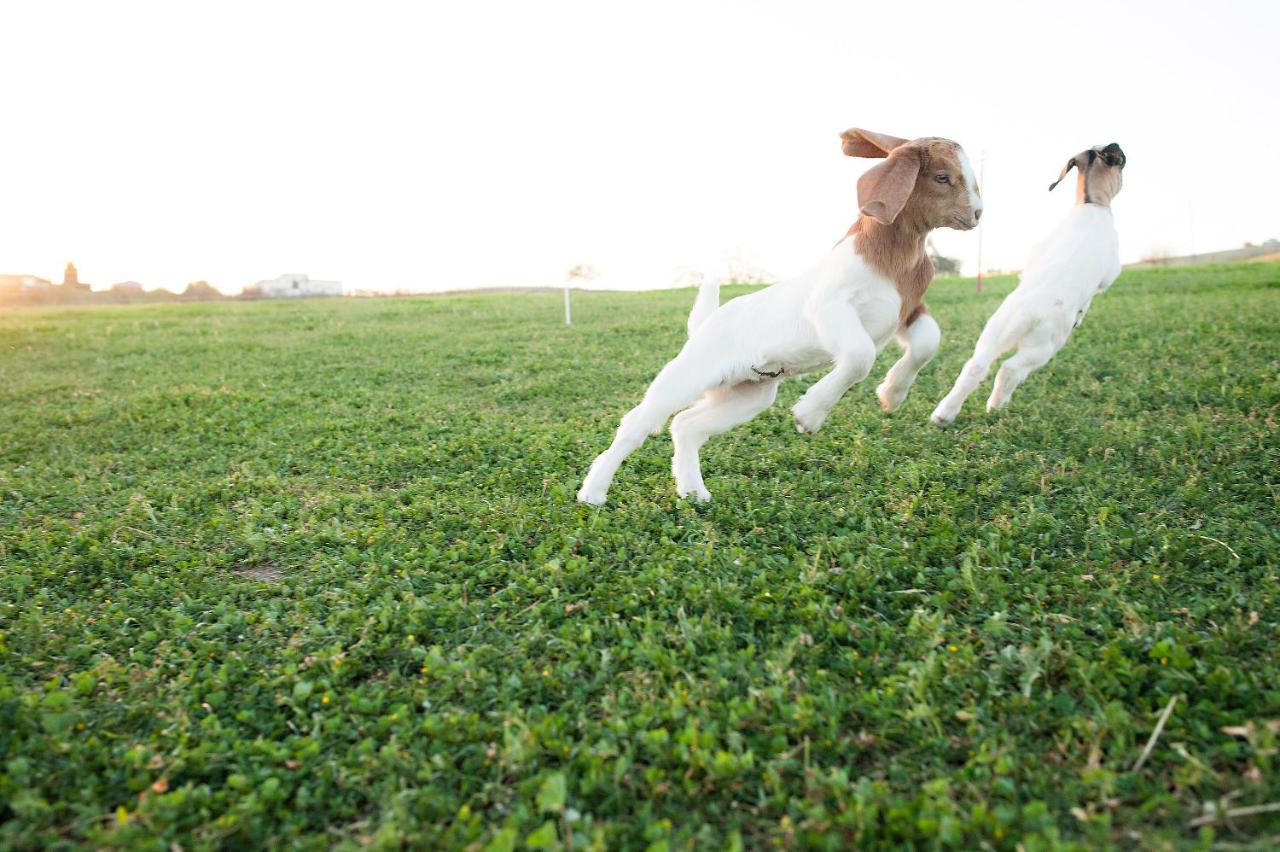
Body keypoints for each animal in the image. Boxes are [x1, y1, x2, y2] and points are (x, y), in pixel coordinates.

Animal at [577, 128, 983, 505]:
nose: (978, 213)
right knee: (639, 422)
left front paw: (892, 394)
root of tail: (706, 324)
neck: (896, 256)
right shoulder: (829, 306)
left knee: (686, 425)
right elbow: (859, 357)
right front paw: (809, 414)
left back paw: (693, 492)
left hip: (747, 395)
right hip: (688, 375)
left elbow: (928, 342)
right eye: (942, 177)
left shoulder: (907, 310)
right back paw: (593, 492)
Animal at [930, 143, 1126, 425]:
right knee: (1009, 369)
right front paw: (1081, 313)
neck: (1091, 203)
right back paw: (996, 405)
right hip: (1045, 346)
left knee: (975, 367)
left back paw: (944, 414)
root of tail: (1025, 313)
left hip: (993, 334)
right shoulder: (1110, 270)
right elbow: (1098, 290)